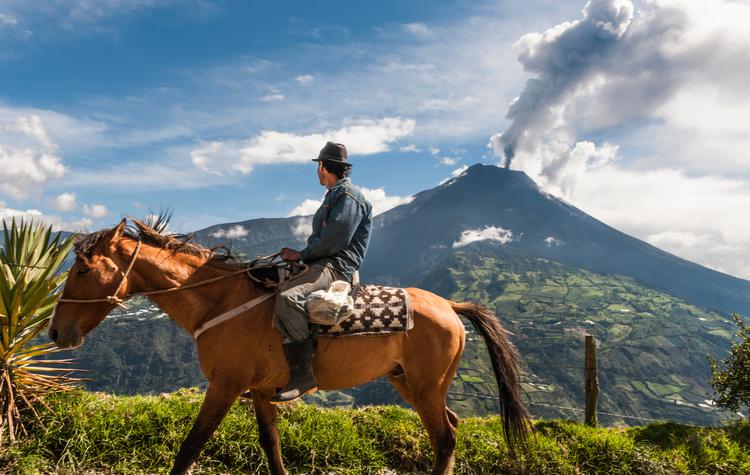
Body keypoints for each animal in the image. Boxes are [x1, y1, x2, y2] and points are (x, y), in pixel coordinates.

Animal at [50, 219, 532, 475]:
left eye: (83, 271)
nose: (55, 333)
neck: (222, 301)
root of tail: (449, 305)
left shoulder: (225, 386)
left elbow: (191, 444)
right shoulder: (261, 392)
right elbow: (271, 444)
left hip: (426, 386)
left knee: (445, 436)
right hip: (409, 384)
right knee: (449, 428)